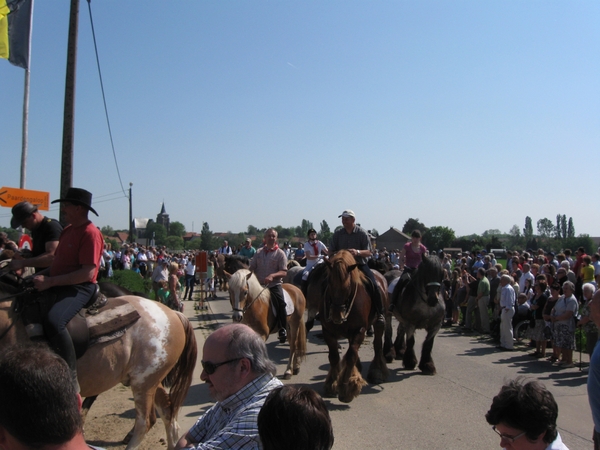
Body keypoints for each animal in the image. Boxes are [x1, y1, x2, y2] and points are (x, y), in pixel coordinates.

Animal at [304, 250, 390, 404]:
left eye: (348, 286)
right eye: (328, 283)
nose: (337, 315)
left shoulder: (359, 330)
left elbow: (350, 356)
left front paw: (346, 388)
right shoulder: (328, 331)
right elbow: (334, 357)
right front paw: (332, 384)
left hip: (379, 322)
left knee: (377, 344)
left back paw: (377, 372)